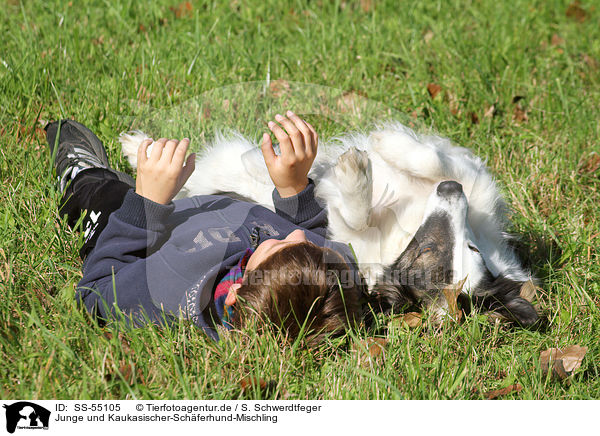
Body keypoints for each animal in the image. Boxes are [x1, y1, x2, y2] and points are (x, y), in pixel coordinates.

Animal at [122, 122, 540, 324]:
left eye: (428, 250)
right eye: (471, 247)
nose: (451, 191)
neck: (403, 233)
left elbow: (353, 213)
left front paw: (356, 171)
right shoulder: (477, 189)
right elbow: (432, 158)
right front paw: (389, 143)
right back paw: (139, 147)